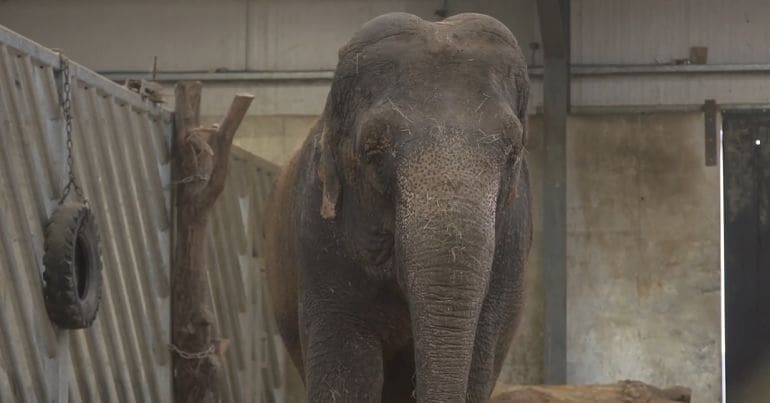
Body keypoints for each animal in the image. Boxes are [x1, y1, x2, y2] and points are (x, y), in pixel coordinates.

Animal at [263, 12, 532, 403]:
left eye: (512, 153)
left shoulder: (511, 237)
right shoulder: (318, 233)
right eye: (373, 152)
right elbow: (348, 370)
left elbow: (478, 358)